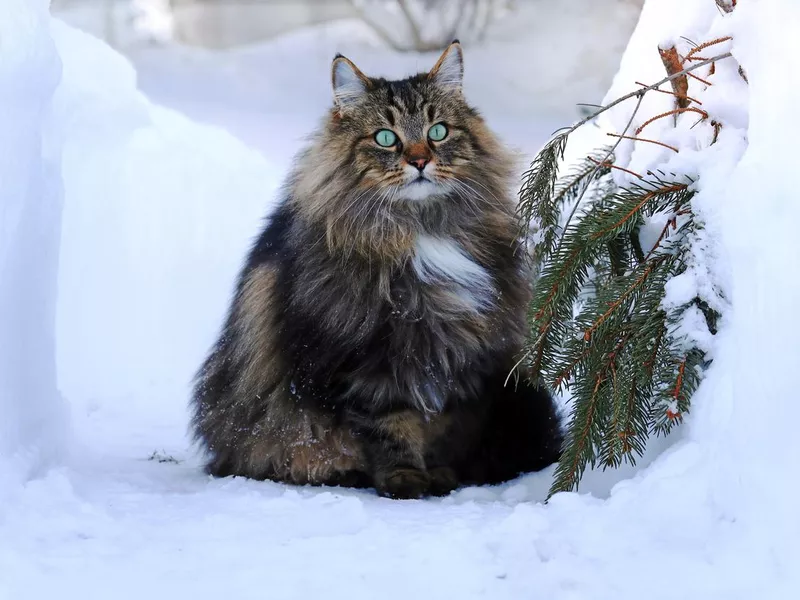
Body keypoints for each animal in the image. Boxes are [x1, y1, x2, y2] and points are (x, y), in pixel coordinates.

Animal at [191, 42, 564, 500]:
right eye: (386, 138)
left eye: (438, 131)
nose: (419, 160)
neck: (421, 230)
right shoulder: (365, 360)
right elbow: (390, 427)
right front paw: (405, 480)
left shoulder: (460, 358)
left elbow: (443, 429)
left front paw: (440, 476)